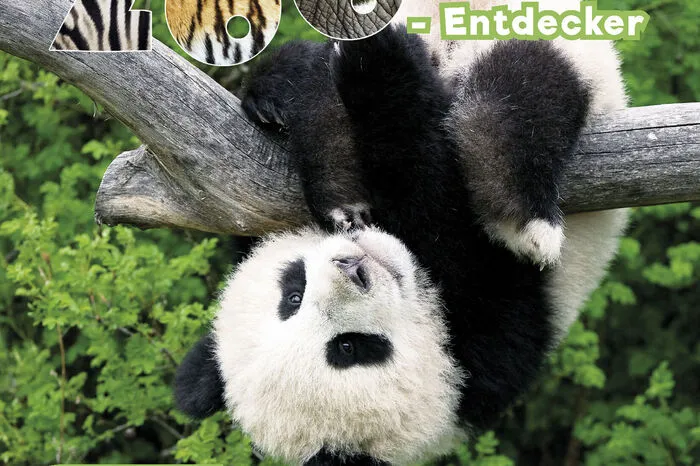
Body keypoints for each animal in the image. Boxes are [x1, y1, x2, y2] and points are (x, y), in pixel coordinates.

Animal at [174, 1, 628, 464]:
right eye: (350, 347)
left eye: (292, 294)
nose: (353, 267)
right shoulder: (489, 346)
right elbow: (433, 197)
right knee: (521, 81)